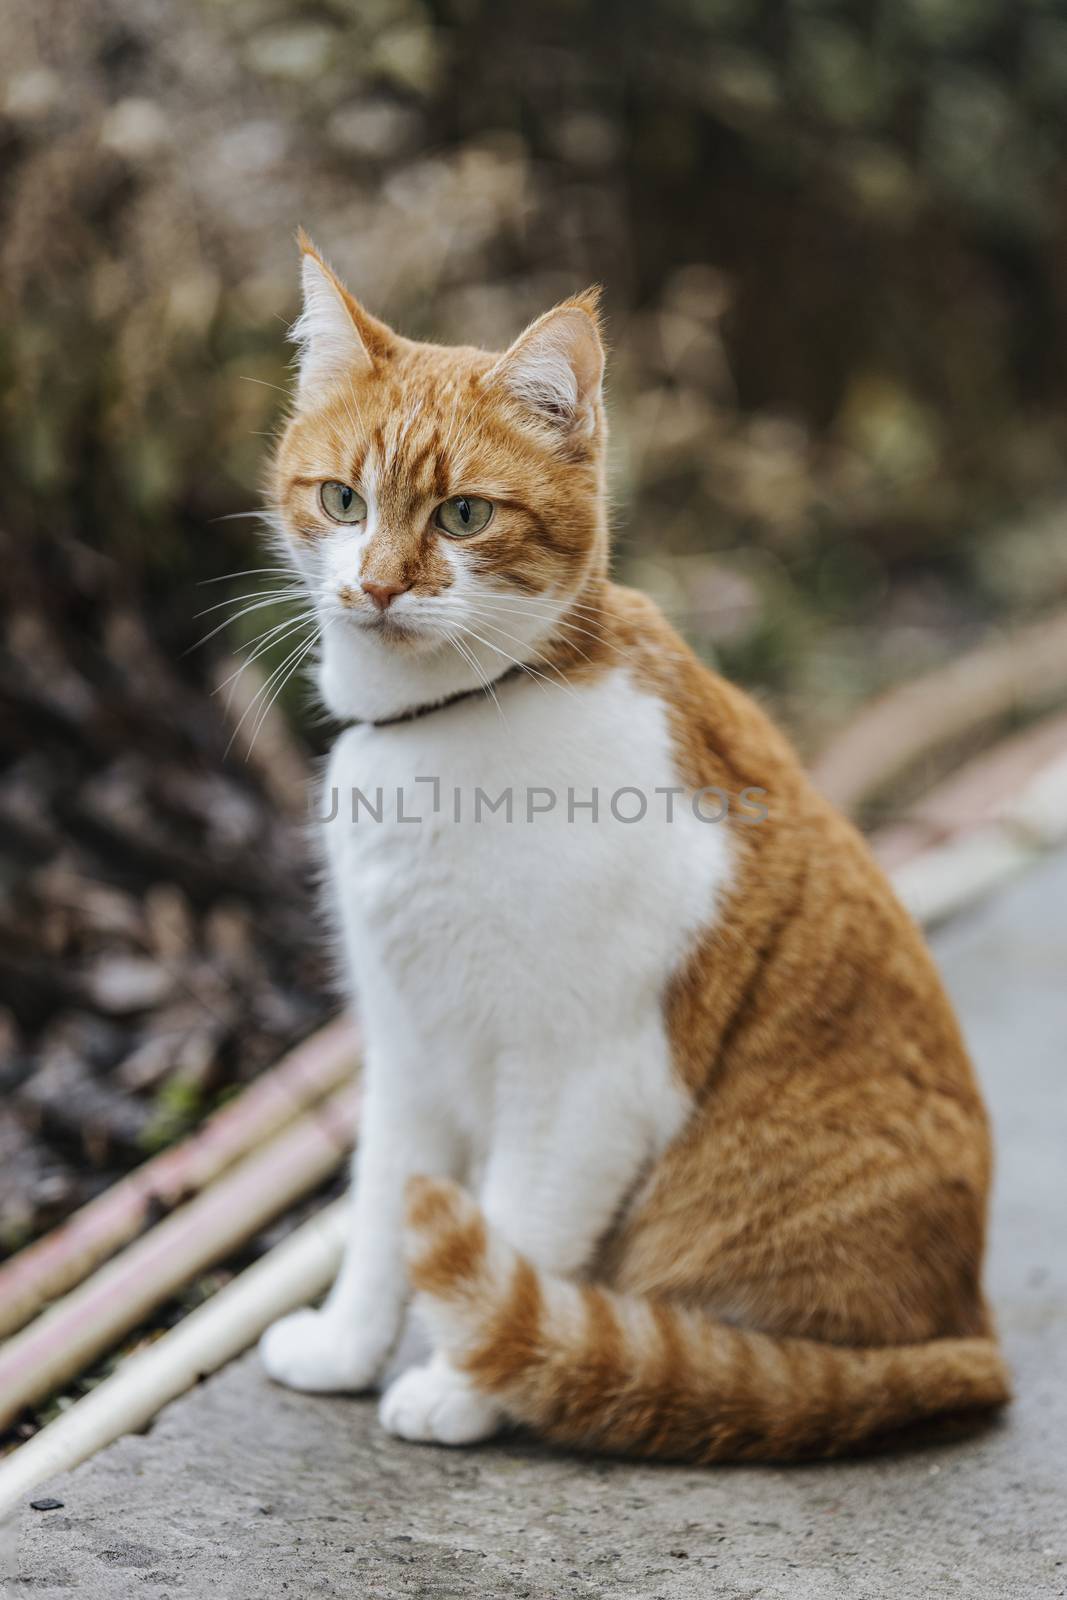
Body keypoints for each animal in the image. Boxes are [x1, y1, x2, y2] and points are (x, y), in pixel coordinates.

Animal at [259, 240, 1011, 1465]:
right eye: (341, 500)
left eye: (463, 515)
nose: (372, 586)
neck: (449, 728)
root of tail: (970, 1327)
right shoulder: (407, 1039)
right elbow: (379, 1211)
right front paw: (344, 1344)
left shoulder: (585, 1075)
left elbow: (517, 1231)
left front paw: (466, 1383)